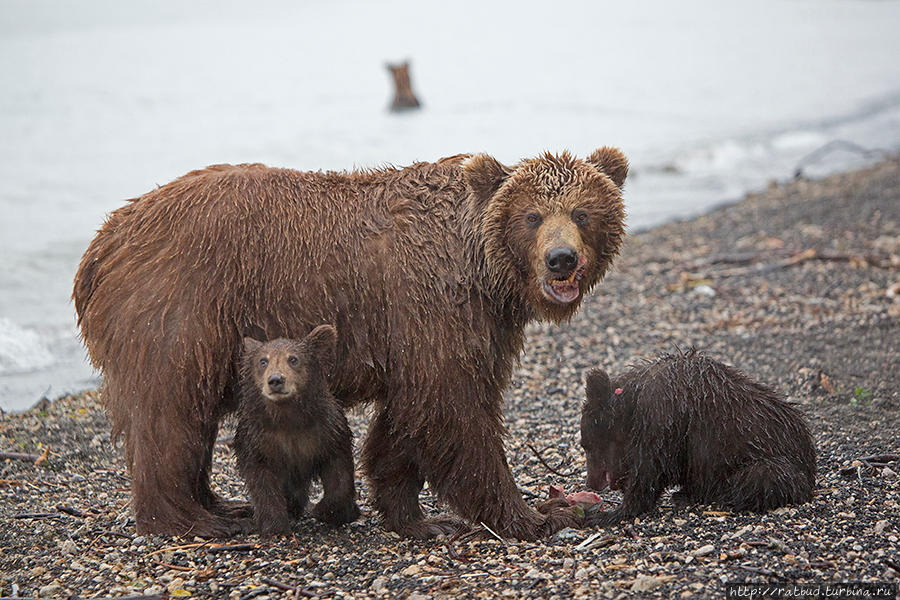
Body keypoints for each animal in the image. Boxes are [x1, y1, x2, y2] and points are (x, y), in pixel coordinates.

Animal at [74, 148, 624, 536]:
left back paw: (220, 503)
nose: (561, 259)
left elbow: (409, 417)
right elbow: (454, 408)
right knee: (168, 414)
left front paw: (417, 516)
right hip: (179, 305)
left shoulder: (451, 325)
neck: (483, 269)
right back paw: (193, 518)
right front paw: (534, 515)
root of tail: (102, 241)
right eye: (532, 216)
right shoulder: (434, 303)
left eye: (582, 213)